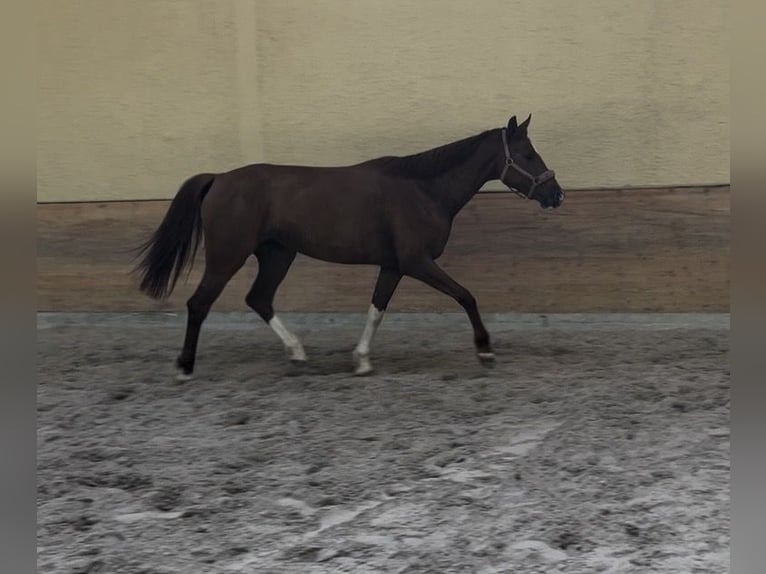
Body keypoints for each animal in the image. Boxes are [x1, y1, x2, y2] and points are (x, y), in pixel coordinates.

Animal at [134, 114, 564, 380]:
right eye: (527, 154)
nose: (556, 194)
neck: (423, 189)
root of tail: (219, 178)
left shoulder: (394, 265)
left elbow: (377, 309)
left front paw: (361, 361)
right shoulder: (417, 261)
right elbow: (466, 296)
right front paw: (485, 350)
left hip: (278, 254)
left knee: (259, 299)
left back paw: (297, 353)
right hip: (228, 257)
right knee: (199, 304)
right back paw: (184, 367)